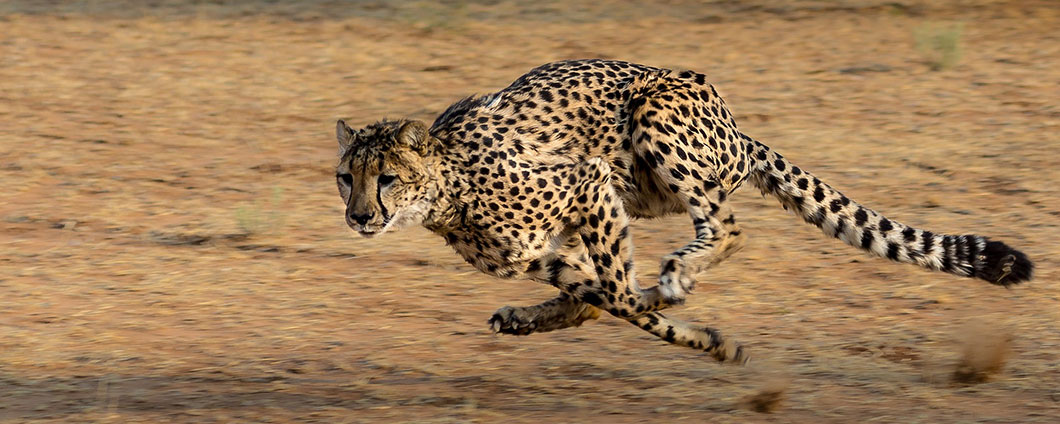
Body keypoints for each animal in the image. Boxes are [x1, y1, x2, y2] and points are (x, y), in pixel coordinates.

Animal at [333, 59, 1033, 364]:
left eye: (386, 178)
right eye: (346, 178)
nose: (359, 217)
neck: (447, 191)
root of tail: (736, 126)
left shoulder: (588, 182)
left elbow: (620, 294)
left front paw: (696, 328)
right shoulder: (541, 252)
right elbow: (602, 297)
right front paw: (700, 335)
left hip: (654, 123)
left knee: (727, 226)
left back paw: (677, 274)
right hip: (637, 193)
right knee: (607, 290)